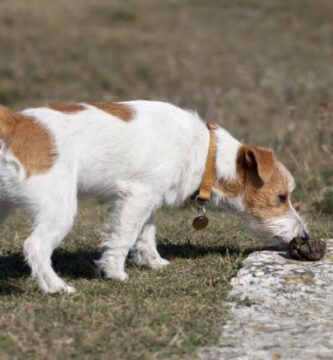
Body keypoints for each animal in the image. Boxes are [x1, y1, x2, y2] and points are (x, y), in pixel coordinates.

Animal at [0, 100, 308, 292]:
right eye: (281, 197)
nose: (304, 235)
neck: (206, 154)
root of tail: (15, 121)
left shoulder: (146, 197)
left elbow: (146, 232)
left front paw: (152, 261)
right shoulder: (139, 196)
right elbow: (124, 235)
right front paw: (114, 272)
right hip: (59, 208)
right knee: (35, 246)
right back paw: (55, 287)